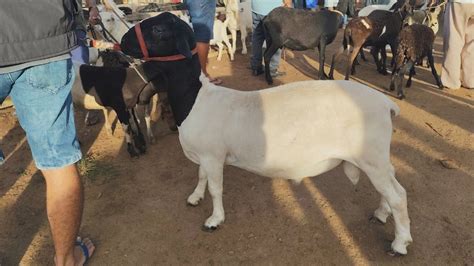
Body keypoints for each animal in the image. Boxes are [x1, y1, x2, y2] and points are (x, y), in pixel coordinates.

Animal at [181, 74, 412, 256]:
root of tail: (386, 103)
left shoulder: (213, 155)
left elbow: (215, 189)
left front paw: (214, 220)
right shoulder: (206, 155)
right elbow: (202, 175)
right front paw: (195, 197)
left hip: (371, 157)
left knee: (398, 196)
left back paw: (400, 244)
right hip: (377, 159)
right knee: (392, 182)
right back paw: (381, 213)